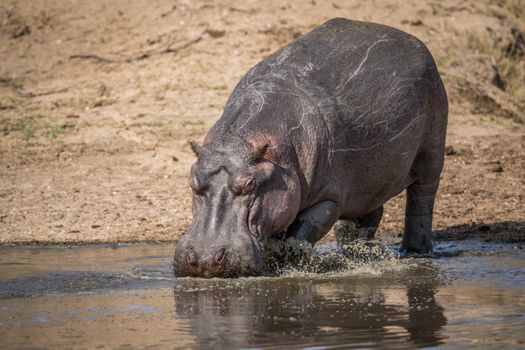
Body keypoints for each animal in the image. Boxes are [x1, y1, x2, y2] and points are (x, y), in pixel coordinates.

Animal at [172, 18, 446, 278]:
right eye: (193, 182)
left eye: (250, 184)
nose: (206, 259)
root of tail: (411, 39)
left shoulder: (329, 198)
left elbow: (301, 232)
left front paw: (288, 262)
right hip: (370, 181)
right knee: (369, 214)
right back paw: (358, 253)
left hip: (432, 153)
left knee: (421, 200)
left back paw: (416, 251)